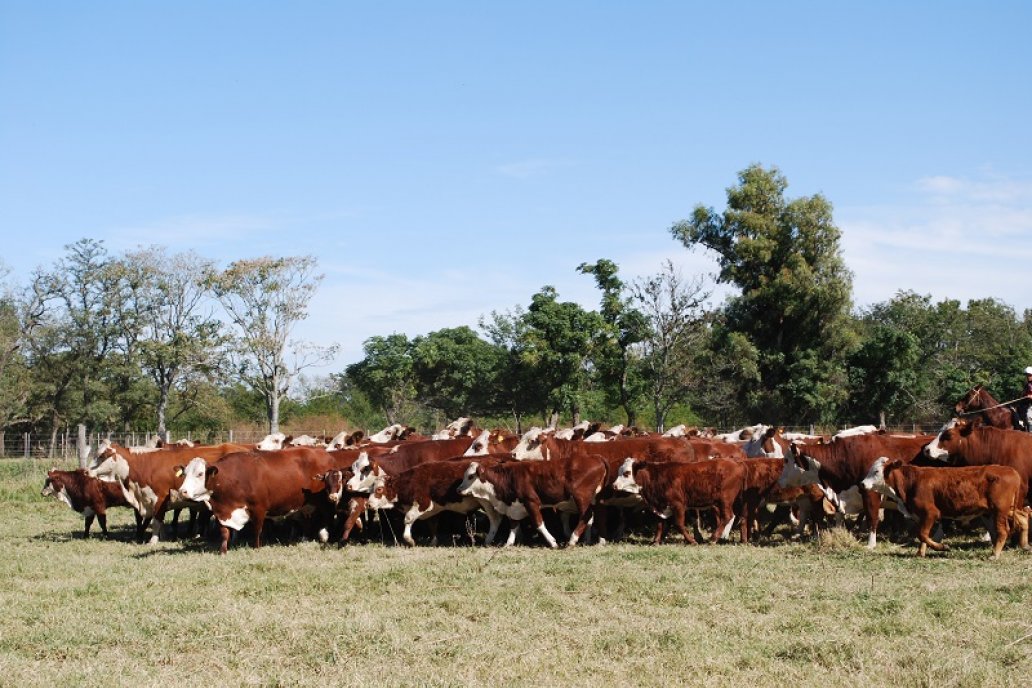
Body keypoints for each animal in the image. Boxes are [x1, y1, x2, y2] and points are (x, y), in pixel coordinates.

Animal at [606, 460, 747, 544]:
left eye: (626, 473)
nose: (614, 485)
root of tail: (736, 464)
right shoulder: (660, 506)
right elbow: (659, 524)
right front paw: (655, 541)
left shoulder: (678, 505)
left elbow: (679, 524)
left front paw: (691, 541)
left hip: (725, 500)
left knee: (727, 516)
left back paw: (714, 538)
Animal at [866, 457, 1027, 561]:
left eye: (876, 471)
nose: (862, 483)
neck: (912, 481)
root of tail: (1010, 470)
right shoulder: (921, 516)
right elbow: (922, 535)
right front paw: (920, 553)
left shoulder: (931, 512)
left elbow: (922, 534)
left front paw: (942, 547)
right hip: (1008, 509)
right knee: (1024, 517)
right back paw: (1024, 545)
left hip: (999, 510)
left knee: (1003, 531)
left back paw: (995, 554)